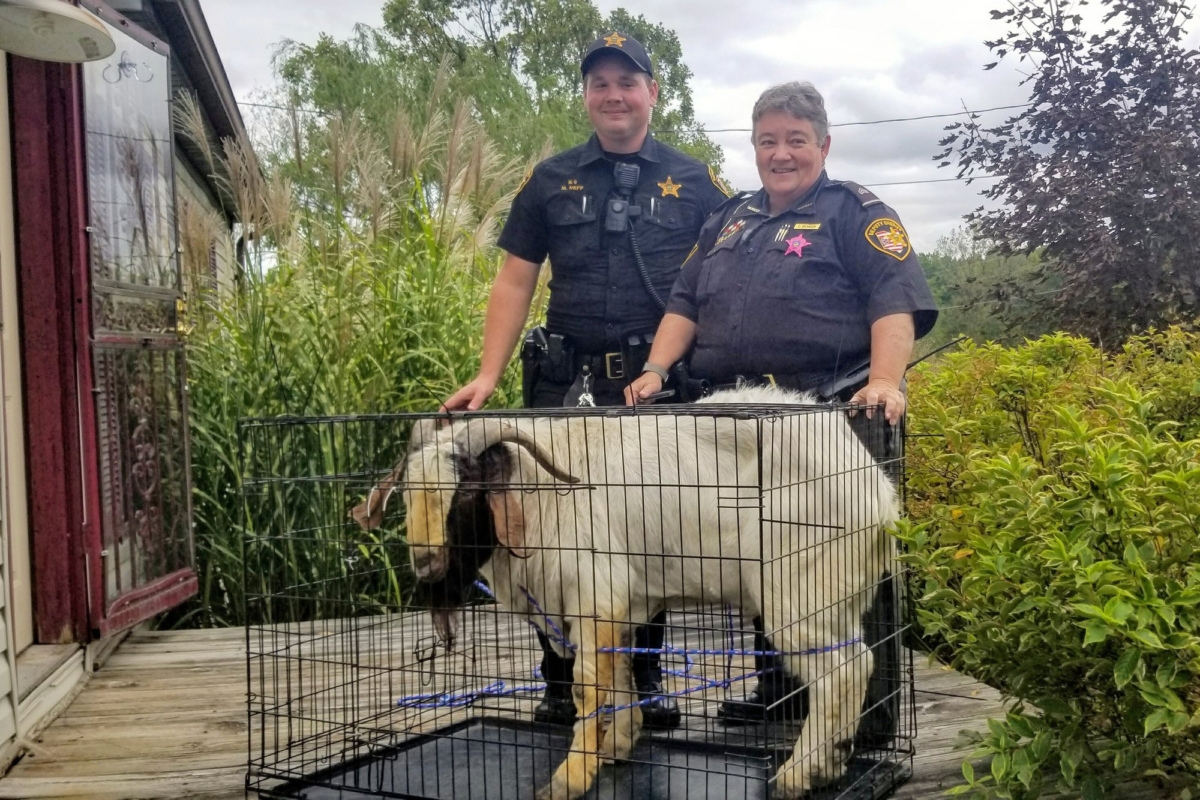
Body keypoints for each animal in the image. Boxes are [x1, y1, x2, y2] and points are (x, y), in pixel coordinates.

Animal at [351, 385, 900, 799]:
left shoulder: (594, 596)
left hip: (800, 593)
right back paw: (832, 763)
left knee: (840, 672)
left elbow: (586, 687)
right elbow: (617, 678)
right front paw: (615, 747)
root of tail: (878, 494)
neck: (541, 494)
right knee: (857, 663)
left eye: (465, 491)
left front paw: (569, 780)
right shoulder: (613, 608)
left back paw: (800, 774)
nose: (426, 568)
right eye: (407, 494)